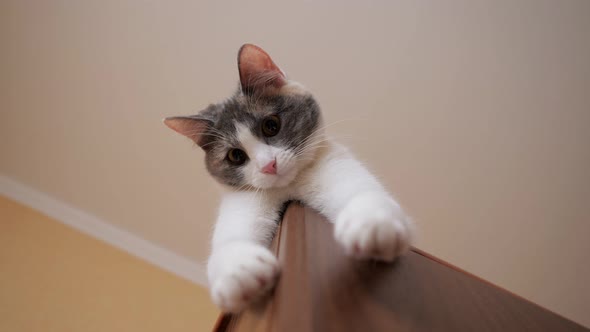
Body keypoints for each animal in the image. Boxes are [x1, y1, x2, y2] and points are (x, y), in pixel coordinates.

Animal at [164, 43, 414, 312]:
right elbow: (230, 238)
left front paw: (373, 222)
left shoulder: (333, 163)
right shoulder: (242, 201)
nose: (268, 165)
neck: (289, 188)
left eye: (271, 125)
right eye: (236, 156)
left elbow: (360, 189)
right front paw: (239, 270)